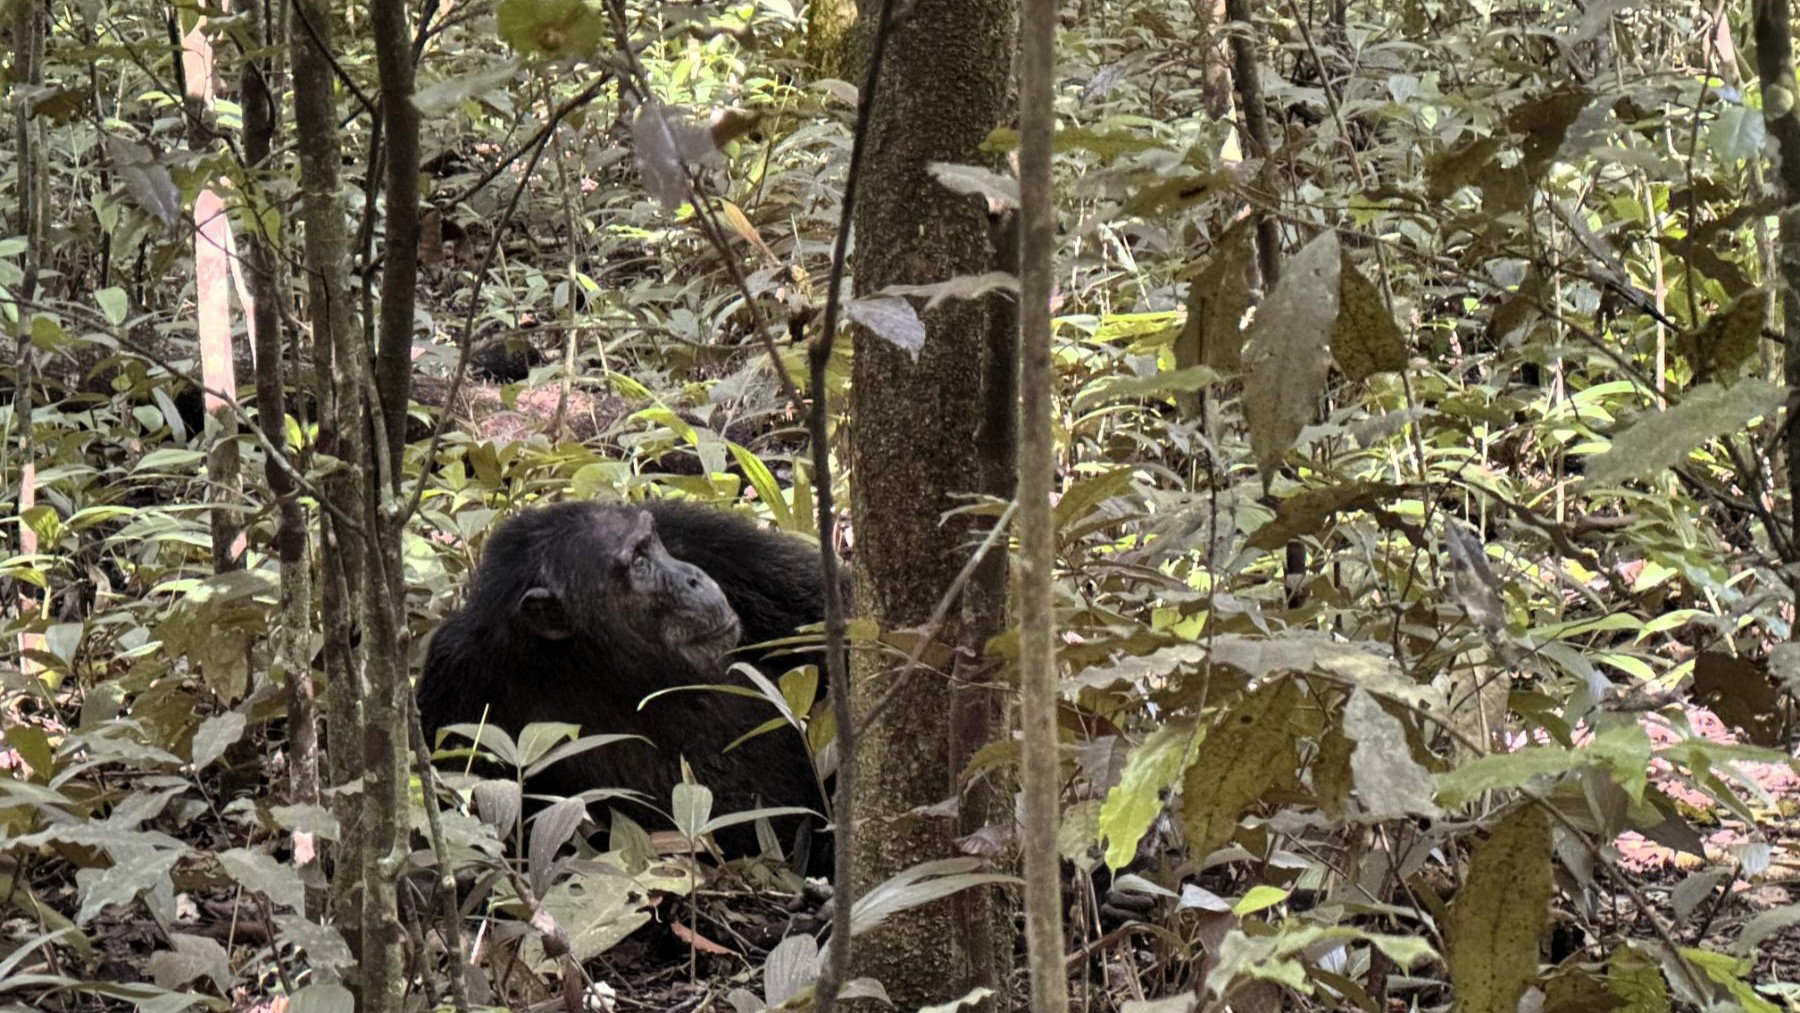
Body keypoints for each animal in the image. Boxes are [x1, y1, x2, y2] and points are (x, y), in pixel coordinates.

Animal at [421, 503, 835, 874]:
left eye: (652, 544)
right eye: (638, 564)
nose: (692, 577)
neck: (596, 660)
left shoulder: (717, 546)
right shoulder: (457, 675)